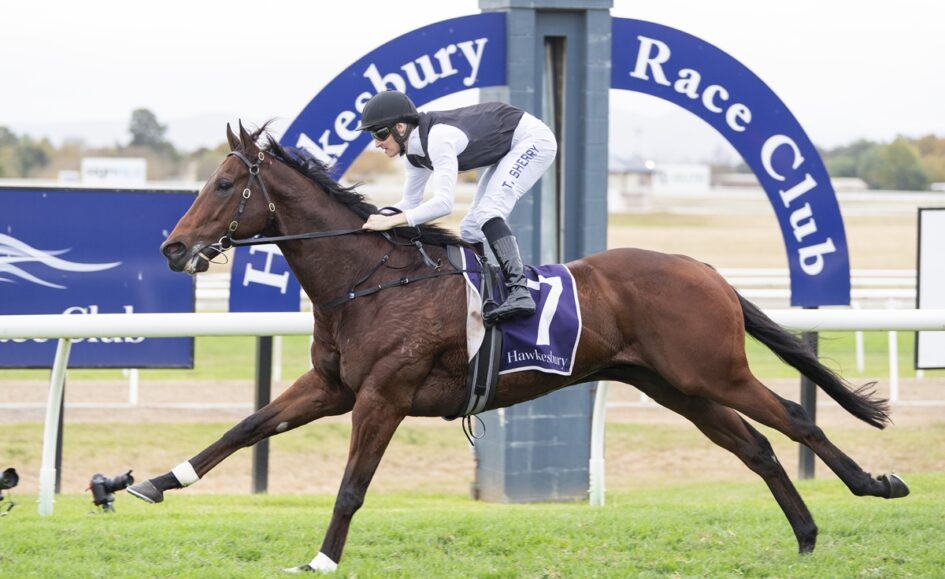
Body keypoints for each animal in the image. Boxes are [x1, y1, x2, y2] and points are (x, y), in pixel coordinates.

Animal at [128, 122, 909, 573]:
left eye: (225, 183)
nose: (172, 248)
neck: (369, 278)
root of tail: (705, 268)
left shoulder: (383, 394)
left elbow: (351, 485)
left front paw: (321, 559)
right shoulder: (333, 387)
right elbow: (242, 428)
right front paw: (144, 482)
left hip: (712, 371)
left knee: (795, 419)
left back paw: (876, 485)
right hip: (675, 388)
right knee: (758, 447)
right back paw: (805, 535)